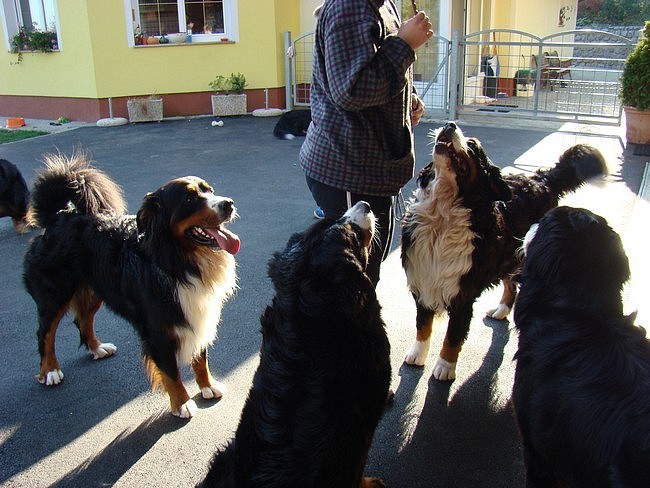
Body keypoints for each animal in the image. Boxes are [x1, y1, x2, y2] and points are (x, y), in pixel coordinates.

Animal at [23, 151, 240, 418]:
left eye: (209, 190)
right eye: (190, 199)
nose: (228, 203)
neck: (177, 261)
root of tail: (59, 216)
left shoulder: (198, 313)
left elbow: (200, 356)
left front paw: (208, 385)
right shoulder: (158, 330)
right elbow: (171, 372)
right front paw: (182, 403)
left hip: (95, 289)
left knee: (83, 320)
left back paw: (97, 348)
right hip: (55, 293)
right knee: (46, 332)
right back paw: (50, 370)